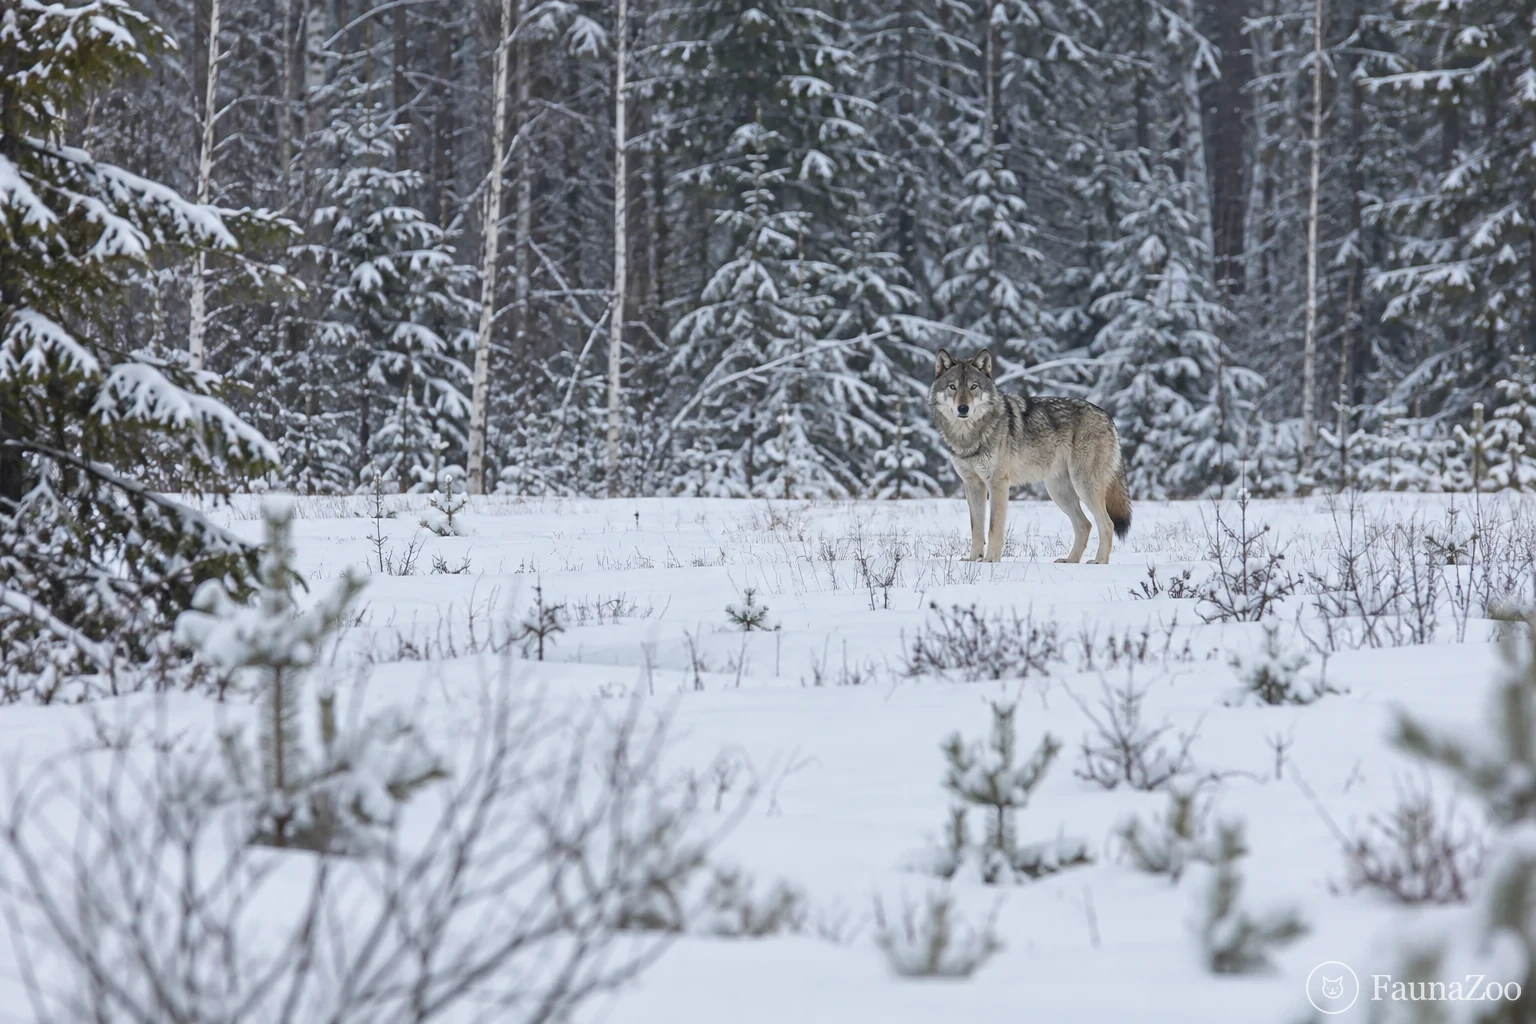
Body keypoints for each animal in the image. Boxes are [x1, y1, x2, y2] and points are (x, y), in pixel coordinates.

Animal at [929, 348, 1131, 563]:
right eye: (952, 387)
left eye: (973, 387)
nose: (963, 408)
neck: (968, 436)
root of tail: (1107, 416)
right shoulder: (973, 484)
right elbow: (976, 528)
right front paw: (974, 560)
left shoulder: (998, 483)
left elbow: (993, 527)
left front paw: (990, 560)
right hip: (1059, 491)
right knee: (1085, 525)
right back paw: (1070, 561)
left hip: (1083, 486)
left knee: (1107, 524)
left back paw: (1099, 561)